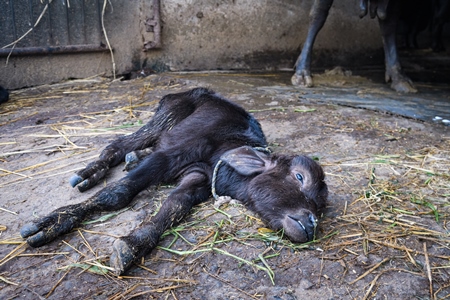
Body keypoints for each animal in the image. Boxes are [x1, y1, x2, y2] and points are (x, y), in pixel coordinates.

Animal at [20, 88, 326, 276]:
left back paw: (130, 159)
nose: (311, 223)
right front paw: (54, 222)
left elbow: (174, 206)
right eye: (299, 176)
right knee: (117, 144)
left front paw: (133, 245)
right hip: (164, 119)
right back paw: (90, 173)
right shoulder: (170, 156)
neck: (224, 147)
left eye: (321, 206)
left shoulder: (198, 179)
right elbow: (118, 192)